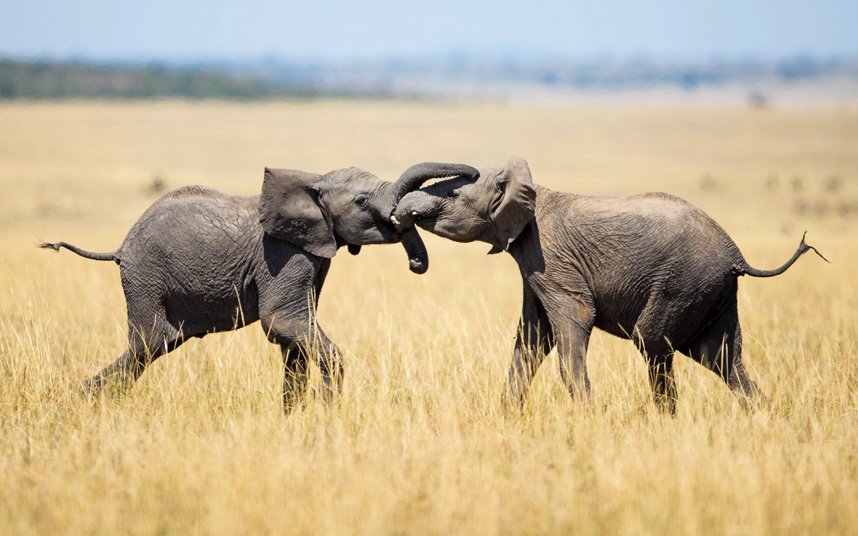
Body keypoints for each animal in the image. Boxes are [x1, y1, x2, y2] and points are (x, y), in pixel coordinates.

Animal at [40, 161, 478, 412]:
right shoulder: (283, 254)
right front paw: (329, 409)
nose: (415, 263)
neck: (312, 181)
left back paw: (91, 399)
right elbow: (282, 322)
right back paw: (88, 401)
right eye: (361, 201)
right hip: (145, 276)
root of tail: (119, 248)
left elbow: (294, 335)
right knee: (149, 343)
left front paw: (294, 415)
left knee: (157, 345)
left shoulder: (313, 253)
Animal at [392, 157, 824, 412]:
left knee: (653, 342)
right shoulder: (534, 266)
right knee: (722, 358)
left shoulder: (550, 258)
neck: (534, 192)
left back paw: (664, 424)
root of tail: (737, 256)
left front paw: (585, 420)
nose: (414, 262)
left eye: (454, 193)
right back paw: (760, 417)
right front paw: (507, 417)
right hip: (713, 293)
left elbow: (572, 324)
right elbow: (531, 338)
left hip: (683, 284)